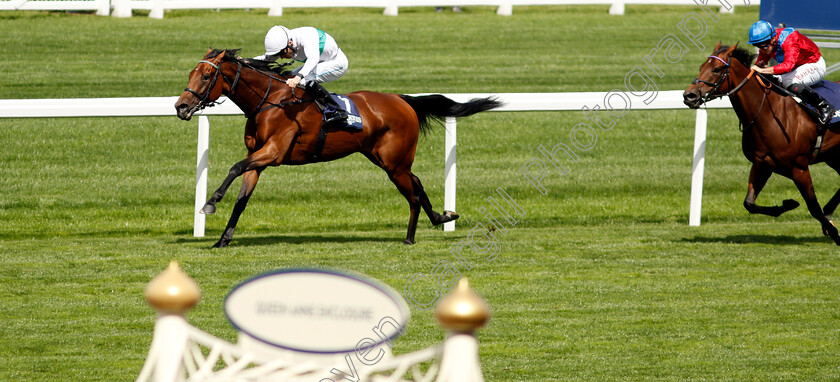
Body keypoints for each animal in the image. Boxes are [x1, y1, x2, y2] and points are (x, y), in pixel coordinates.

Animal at [171, 49, 498, 248]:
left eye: (205, 76)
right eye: (190, 74)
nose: (181, 107)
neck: (270, 100)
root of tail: (402, 100)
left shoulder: (273, 153)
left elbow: (234, 167)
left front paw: (210, 203)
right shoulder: (259, 159)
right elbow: (242, 198)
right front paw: (223, 239)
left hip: (394, 163)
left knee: (413, 192)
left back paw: (410, 237)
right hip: (387, 160)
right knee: (417, 183)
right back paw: (441, 217)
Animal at [684, 42, 840, 245]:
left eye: (716, 69)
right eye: (701, 67)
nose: (689, 96)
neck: (767, 114)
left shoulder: (799, 167)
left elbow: (813, 206)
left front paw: (834, 233)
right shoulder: (762, 164)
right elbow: (749, 203)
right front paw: (787, 204)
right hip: (834, 156)